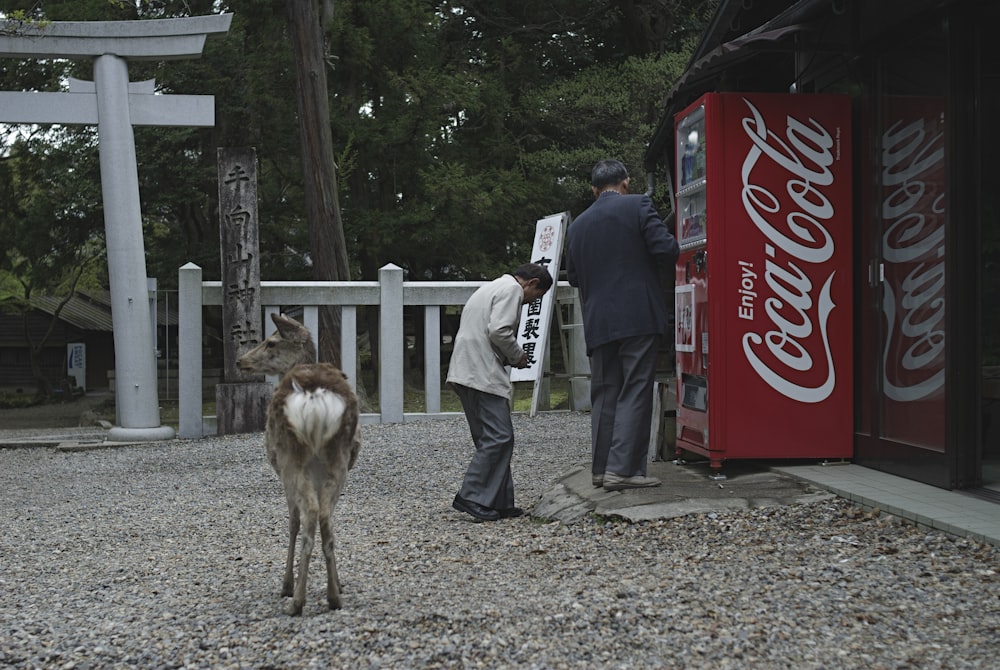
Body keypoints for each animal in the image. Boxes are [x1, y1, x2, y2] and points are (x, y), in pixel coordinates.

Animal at [236, 312, 362, 616]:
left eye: (270, 342)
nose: (240, 361)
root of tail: (314, 396)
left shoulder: (281, 472)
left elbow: (291, 522)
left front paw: (286, 584)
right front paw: (339, 583)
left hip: (290, 459)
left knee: (308, 516)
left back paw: (297, 601)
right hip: (338, 460)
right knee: (325, 517)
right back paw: (333, 595)